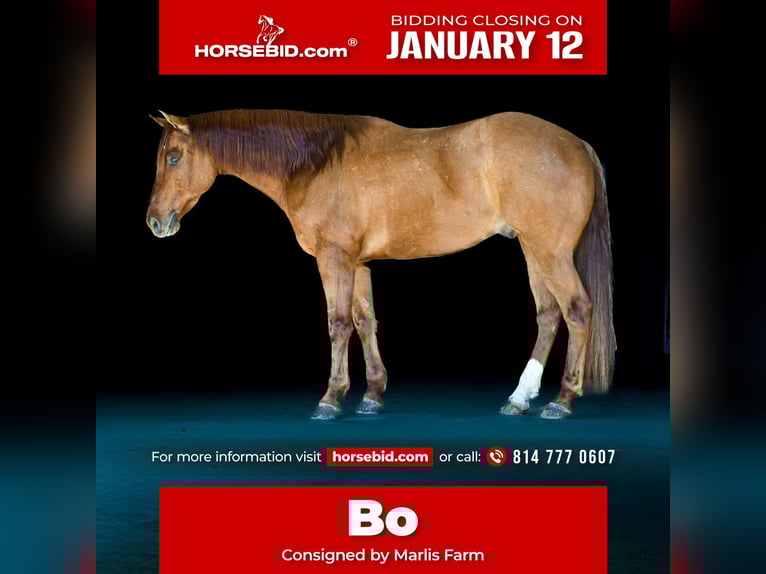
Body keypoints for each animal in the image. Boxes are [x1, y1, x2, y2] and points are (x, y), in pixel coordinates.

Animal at [146, 109, 616, 420]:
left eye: (173, 157)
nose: (155, 221)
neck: (317, 162)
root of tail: (578, 145)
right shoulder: (359, 263)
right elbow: (364, 321)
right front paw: (372, 394)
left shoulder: (334, 258)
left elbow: (338, 324)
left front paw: (331, 399)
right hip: (533, 250)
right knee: (549, 315)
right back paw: (519, 398)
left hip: (549, 251)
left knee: (577, 310)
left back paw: (562, 400)